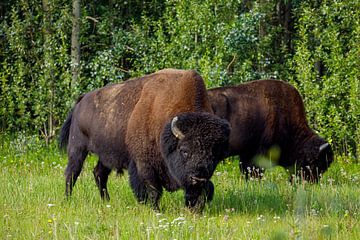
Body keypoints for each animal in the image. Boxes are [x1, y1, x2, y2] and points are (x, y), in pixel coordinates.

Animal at [58, 68, 229, 211]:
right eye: (184, 150)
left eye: (214, 154)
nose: (198, 178)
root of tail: (80, 101)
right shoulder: (144, 165)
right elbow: (153, 190)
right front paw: (154, 209)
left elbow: (205, 190)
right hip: (77, 148)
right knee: (72, 173)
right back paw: (67, 199)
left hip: (105, 155)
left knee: (99, 173)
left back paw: (106, 201)